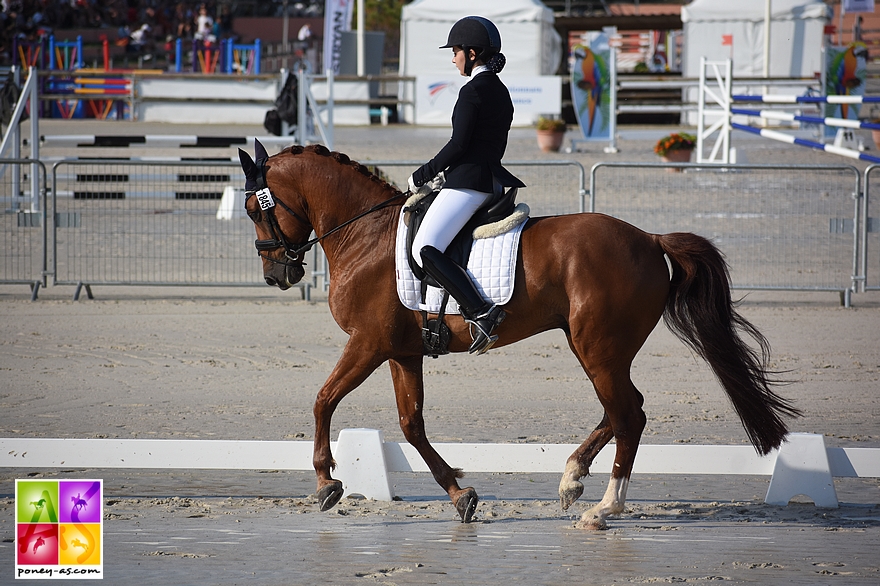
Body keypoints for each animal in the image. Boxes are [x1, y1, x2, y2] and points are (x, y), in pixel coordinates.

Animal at [237, 141, 800, 528]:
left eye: (253, 209)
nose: (276, 275)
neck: (363, 234)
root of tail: (648, 237)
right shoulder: (401, 351)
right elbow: (411, 424)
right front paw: (460, 495)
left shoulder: (367, 344)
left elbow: (323, 399)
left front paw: (326, 482)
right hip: (593, 346)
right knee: (621, 410)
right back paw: (572, 479)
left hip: (598, 347)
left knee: (629, 415)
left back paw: (603, 508)